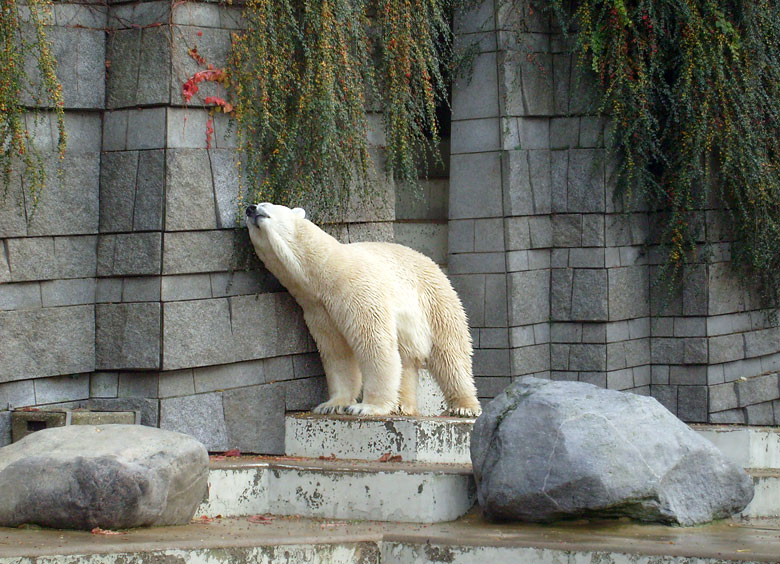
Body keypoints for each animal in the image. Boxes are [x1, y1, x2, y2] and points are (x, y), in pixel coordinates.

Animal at [247, 203, 484, 418]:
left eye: (265, 204)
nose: (250, 208)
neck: (324, 272)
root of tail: (434, 264)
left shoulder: (358, 290)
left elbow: (374, 343)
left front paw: (367, 407)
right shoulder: (317, 310)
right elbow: (337, 352)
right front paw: (332, 404)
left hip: (435, 302)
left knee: (451, 354)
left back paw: (464, 407)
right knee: (406, 360)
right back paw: (402, 405)